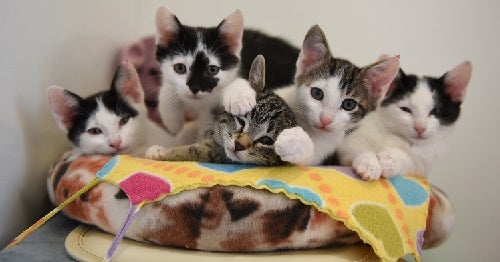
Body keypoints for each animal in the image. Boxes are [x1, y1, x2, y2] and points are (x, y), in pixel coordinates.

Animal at [145, 55, 314, 166]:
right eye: (241, 120)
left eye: (266, 141)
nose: (238, 145)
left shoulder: (214, 154)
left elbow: (193, 151)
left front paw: (161, 153)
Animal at [336, 61, 472, 180]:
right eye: (406, 109)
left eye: (435, 112)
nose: (420, 128)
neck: (397, 136)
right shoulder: (354, 134)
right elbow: (355, 144)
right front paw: (369, 164)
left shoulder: (424, 163)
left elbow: (410, 160)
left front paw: (391, 161)